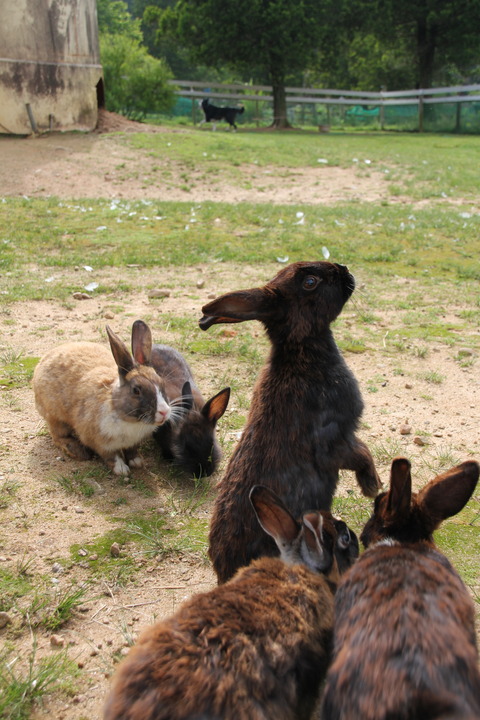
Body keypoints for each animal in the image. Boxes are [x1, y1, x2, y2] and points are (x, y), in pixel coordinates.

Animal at [32, 320, 171, 478]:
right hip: (56, 418)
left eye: (162, 382)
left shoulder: (133, 442)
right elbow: (112, 457)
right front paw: (121, 470)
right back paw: (77, 451)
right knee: (57, 436)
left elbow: (132, 451)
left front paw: (137, 462)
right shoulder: (100, 443)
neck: (129, 419)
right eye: (136, 390)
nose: (164, 412)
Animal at [197, 262, 380, 584]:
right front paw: (373, 487)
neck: (301, 350)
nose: (344, 269)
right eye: (310, 282)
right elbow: (362, 454)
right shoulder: (334, 440)